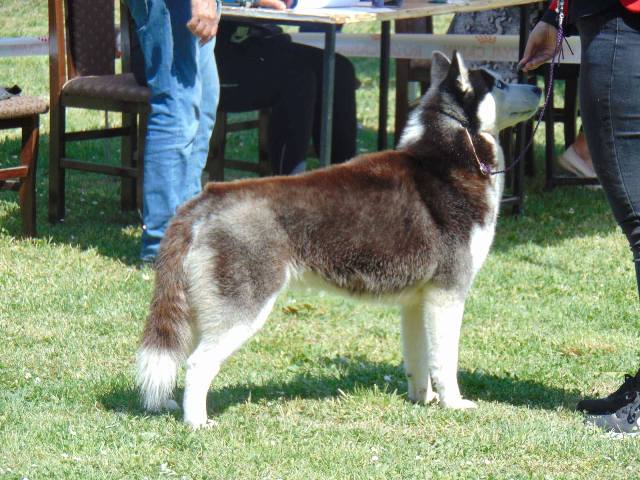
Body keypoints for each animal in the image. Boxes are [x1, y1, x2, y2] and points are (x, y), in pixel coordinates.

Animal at [135, 51, 540, 428]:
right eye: (499, 83)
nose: (537, 87)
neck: (453, 155)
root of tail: (204, 199)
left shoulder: (417, 301)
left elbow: (419, 359)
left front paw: (421, 400)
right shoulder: (447, 294)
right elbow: (445, 361)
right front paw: (452, 403)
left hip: (200, 304)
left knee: (181, 351)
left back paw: (169, 403)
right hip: (242, 308)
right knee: (198, 362)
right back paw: (196, 422)